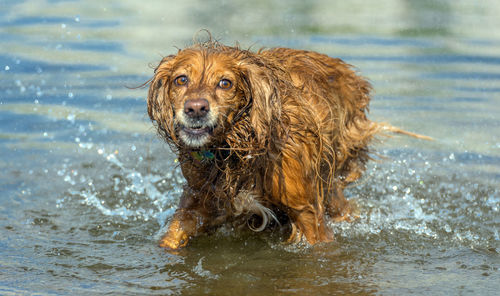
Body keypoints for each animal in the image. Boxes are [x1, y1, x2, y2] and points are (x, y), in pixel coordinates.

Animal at [146, 41, 430, 250]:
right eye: (181, 79)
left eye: (225, 83)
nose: (196, 108)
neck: (239, 150)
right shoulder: (198, 201)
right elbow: (172, 236)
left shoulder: (307, 212)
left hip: (333, 185)